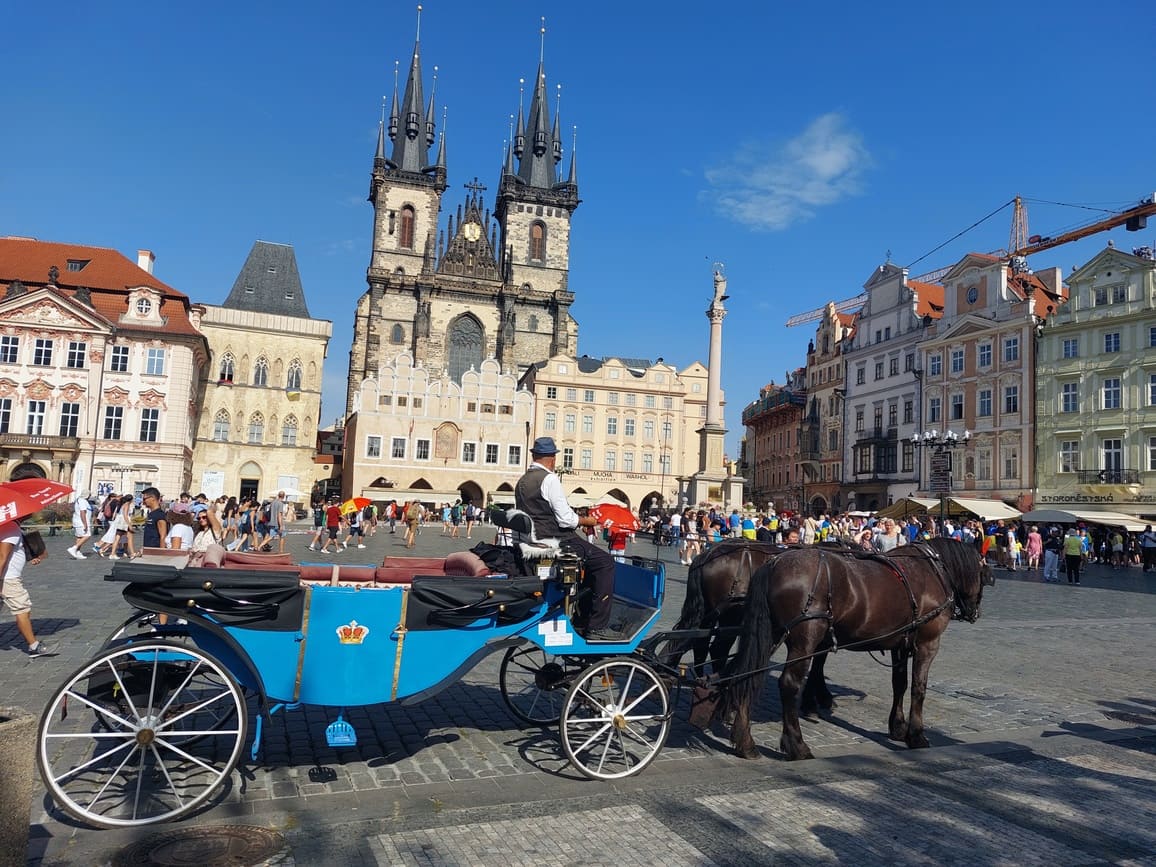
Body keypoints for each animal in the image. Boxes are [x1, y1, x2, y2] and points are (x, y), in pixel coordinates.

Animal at [725, 541, 989, 762]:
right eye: (983, 575)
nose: (975, 613)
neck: (932, 571)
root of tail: (774, 563)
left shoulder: (900, 644)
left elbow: (900, 684)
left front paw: (897, 727)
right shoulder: (927, 643)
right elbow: (918, 688)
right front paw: (916, 736)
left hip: (769, 636)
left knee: (747, 676)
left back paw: (745, 743)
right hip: (804, 641)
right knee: (788, 684)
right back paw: (797, 746)